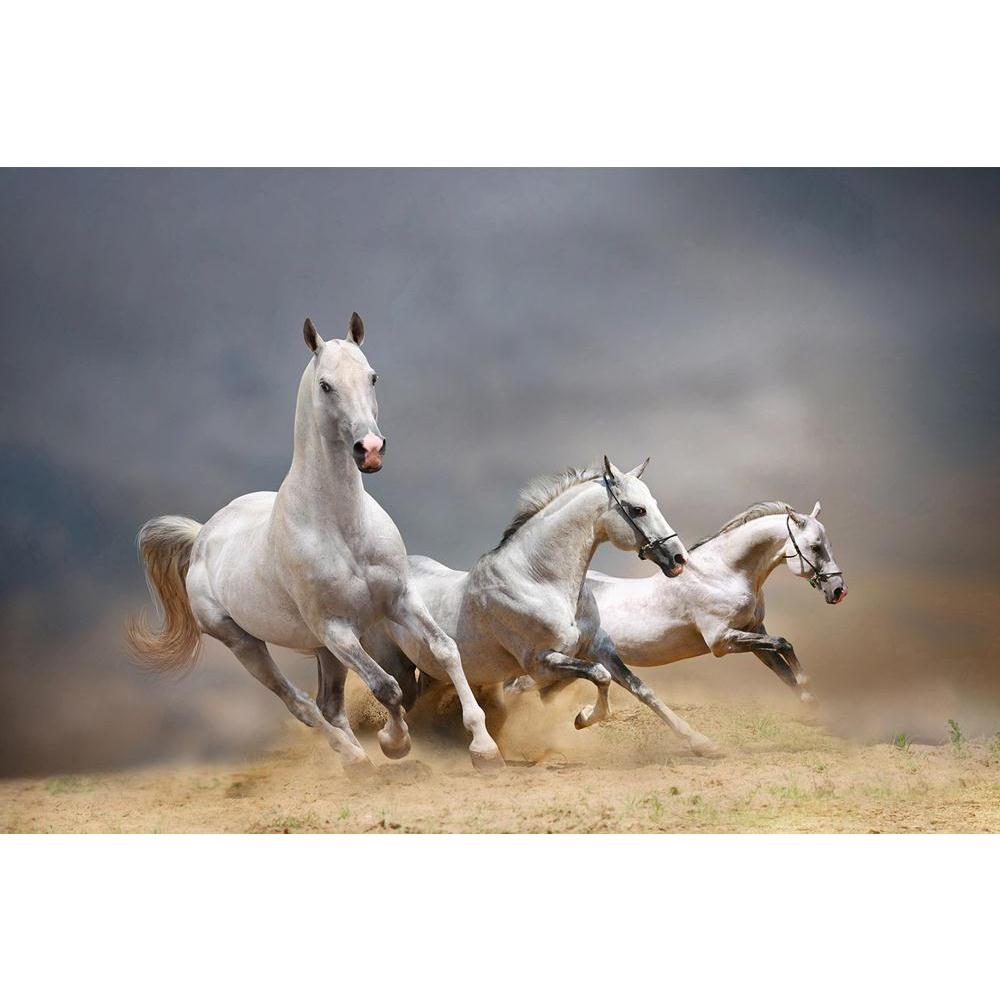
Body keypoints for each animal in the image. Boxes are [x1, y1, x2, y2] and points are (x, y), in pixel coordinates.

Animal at [126, 313, 501, 772]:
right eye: (325, 385)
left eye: (372, 376)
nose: (369, 449)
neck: (343, 529)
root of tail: (202, 537)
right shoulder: (337, 628)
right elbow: (386, 686)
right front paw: (394, 742)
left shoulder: (400, 601)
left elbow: (445, 650)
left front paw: (484, 747)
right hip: (247, 643)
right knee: (301, 704)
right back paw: (355, 757)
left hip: (323, 650)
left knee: (329, 706)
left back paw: (357, 760)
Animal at [363, 457, 722, 758]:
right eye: (637, 510)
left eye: (653, 504)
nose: (678, 558)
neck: (540, 580)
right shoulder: (541, 662)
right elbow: (600, 676)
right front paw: (583, 718)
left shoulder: (599, 647)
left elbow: (641, 690)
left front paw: (701, 743)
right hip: (398, 666)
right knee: (398, 699)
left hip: (432, 673)